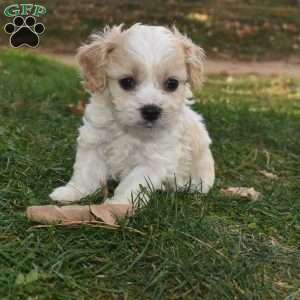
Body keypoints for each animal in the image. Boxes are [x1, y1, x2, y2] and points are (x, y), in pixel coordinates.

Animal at [50, 24, 216, 206]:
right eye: (127, 82)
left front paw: (118, 205)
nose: (151, 110)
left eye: (172, 84)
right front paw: (72, 192)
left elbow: (133, 184)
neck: (129, 130)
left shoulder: (153, 161)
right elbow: (86, 172)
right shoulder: (94, 141)